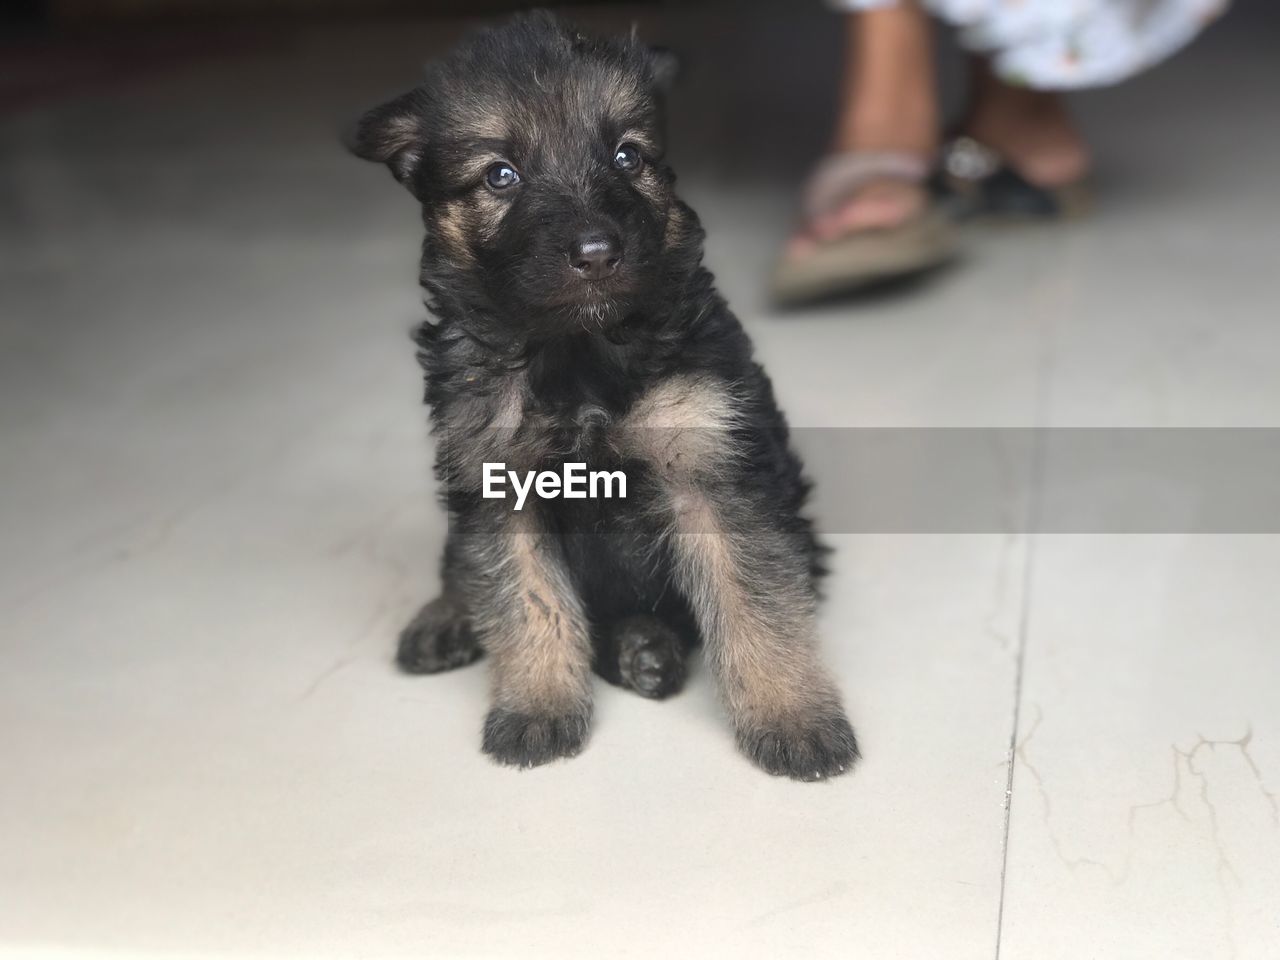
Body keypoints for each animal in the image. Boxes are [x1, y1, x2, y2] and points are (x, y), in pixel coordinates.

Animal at [348, 11, 860, 783]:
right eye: (501, 175)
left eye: (626, 157)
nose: (596, 253)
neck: (578, 354)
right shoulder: (499, 481)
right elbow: (526, 601)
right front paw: (536, 708)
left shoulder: (711, 473)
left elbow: (756, 607)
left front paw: (792, 718)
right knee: (459, 567)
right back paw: (445, 620)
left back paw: (644, 647)